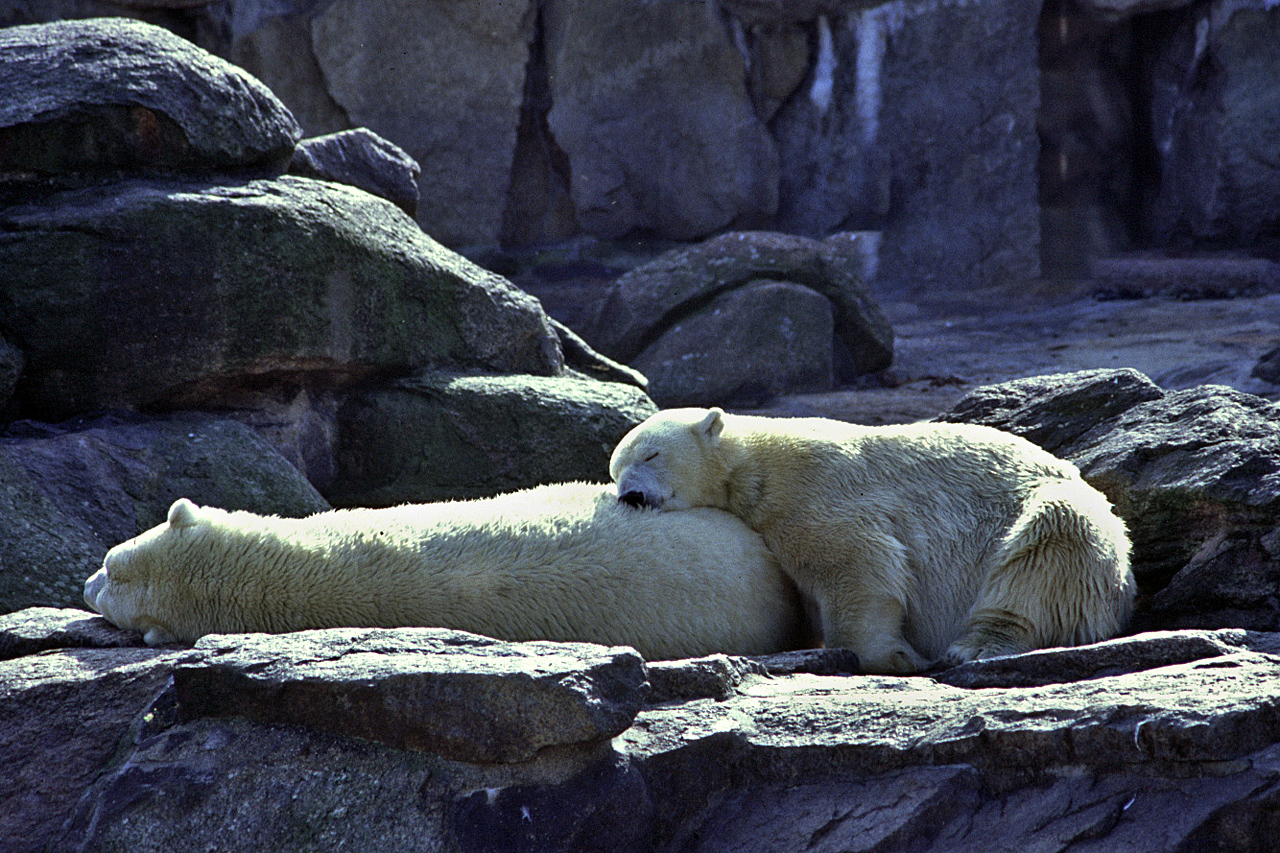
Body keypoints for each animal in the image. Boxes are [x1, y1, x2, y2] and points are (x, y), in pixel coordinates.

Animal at [611, 404, 1141, 671]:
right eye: (615, 470)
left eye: (653, 454)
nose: (631, 496)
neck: (755, 466)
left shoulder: (817, 492)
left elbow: (857, 565)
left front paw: (894, 657)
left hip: (1067, 519)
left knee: (1048, 546)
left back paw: (975, 646)